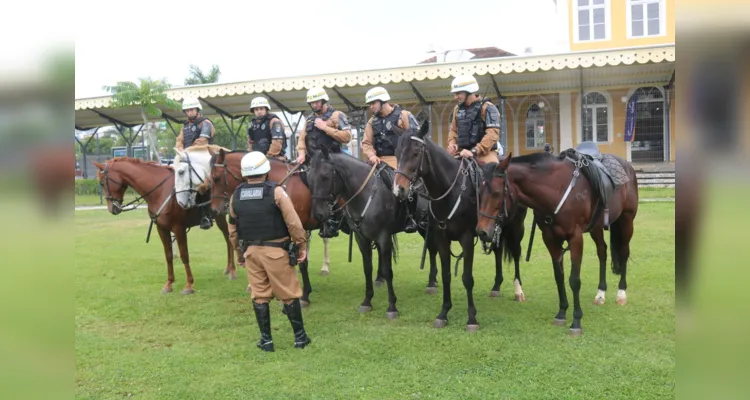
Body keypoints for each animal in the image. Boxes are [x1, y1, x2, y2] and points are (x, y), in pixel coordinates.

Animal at [93, 156, 236, 294]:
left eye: (102, 183)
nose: (112, 208)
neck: (160, 191)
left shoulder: (178, 228)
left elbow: (184, 255)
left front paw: (189, 285)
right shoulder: (161, 229)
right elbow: (168, 255)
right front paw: (169, 284)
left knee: (229, 239)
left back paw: (233, 271)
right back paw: (228, 268)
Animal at [306, 146, 440, 318]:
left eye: (325, 177)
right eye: (309, 178)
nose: (318, 214)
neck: (367, 195)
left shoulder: (383, 237)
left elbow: (387, 271)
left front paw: (392, 306)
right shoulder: (362, 239)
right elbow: (367, 268)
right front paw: (367, 301)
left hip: (427, 227)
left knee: (432, 249)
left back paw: (432, 283)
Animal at [394, 122, 528, 332]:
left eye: (415, 153)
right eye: (397, 153)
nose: (399, 189)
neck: (451, 191)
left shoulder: (467, 238)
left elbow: (467, 278)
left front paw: (472, 318)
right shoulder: (441, 238)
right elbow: (446, 275)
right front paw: (443, 313)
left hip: (515, 228)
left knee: (515, 254)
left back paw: (518, 290)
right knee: (498, 251)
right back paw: (496, 286)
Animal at [478, 145, 636, 336]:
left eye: (496, 193)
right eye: (479, 193)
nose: (481, 231)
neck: (555, 189)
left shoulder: (575, 238)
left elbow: (574, 280)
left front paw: (576, 321)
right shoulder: (550, 238)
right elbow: (559, 276)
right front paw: (561, 312)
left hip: (627, 220)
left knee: (624, 252)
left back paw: (621, 294)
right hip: (597, 227)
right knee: (602, 252)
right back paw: (600, 293)